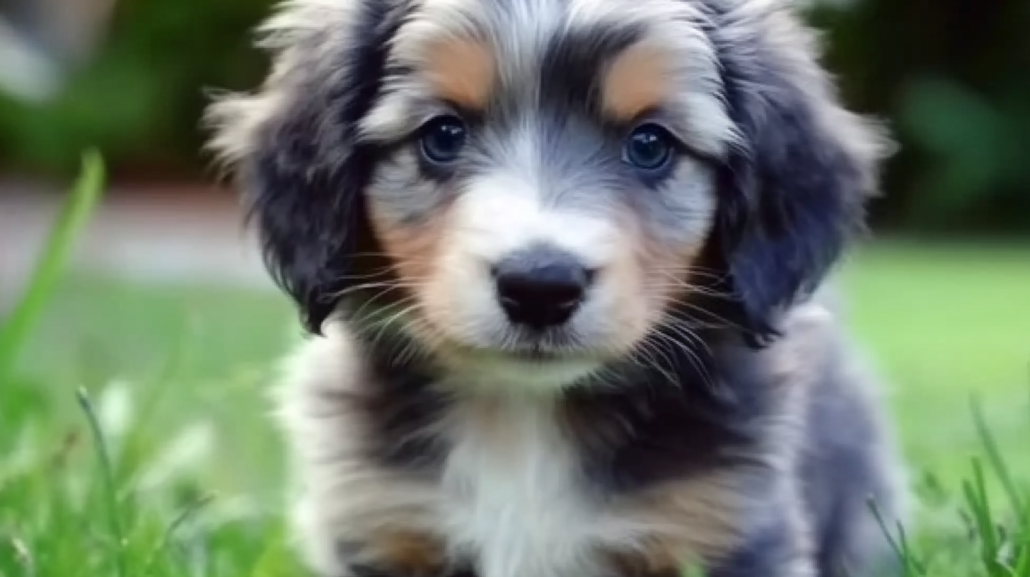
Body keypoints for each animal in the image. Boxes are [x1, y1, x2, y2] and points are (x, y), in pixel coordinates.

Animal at [207, 1, 910, 577]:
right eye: (442, 135)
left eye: (650, 143)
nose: (540, 286)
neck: (524, 415)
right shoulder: (382, 525)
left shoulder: (728, 529)